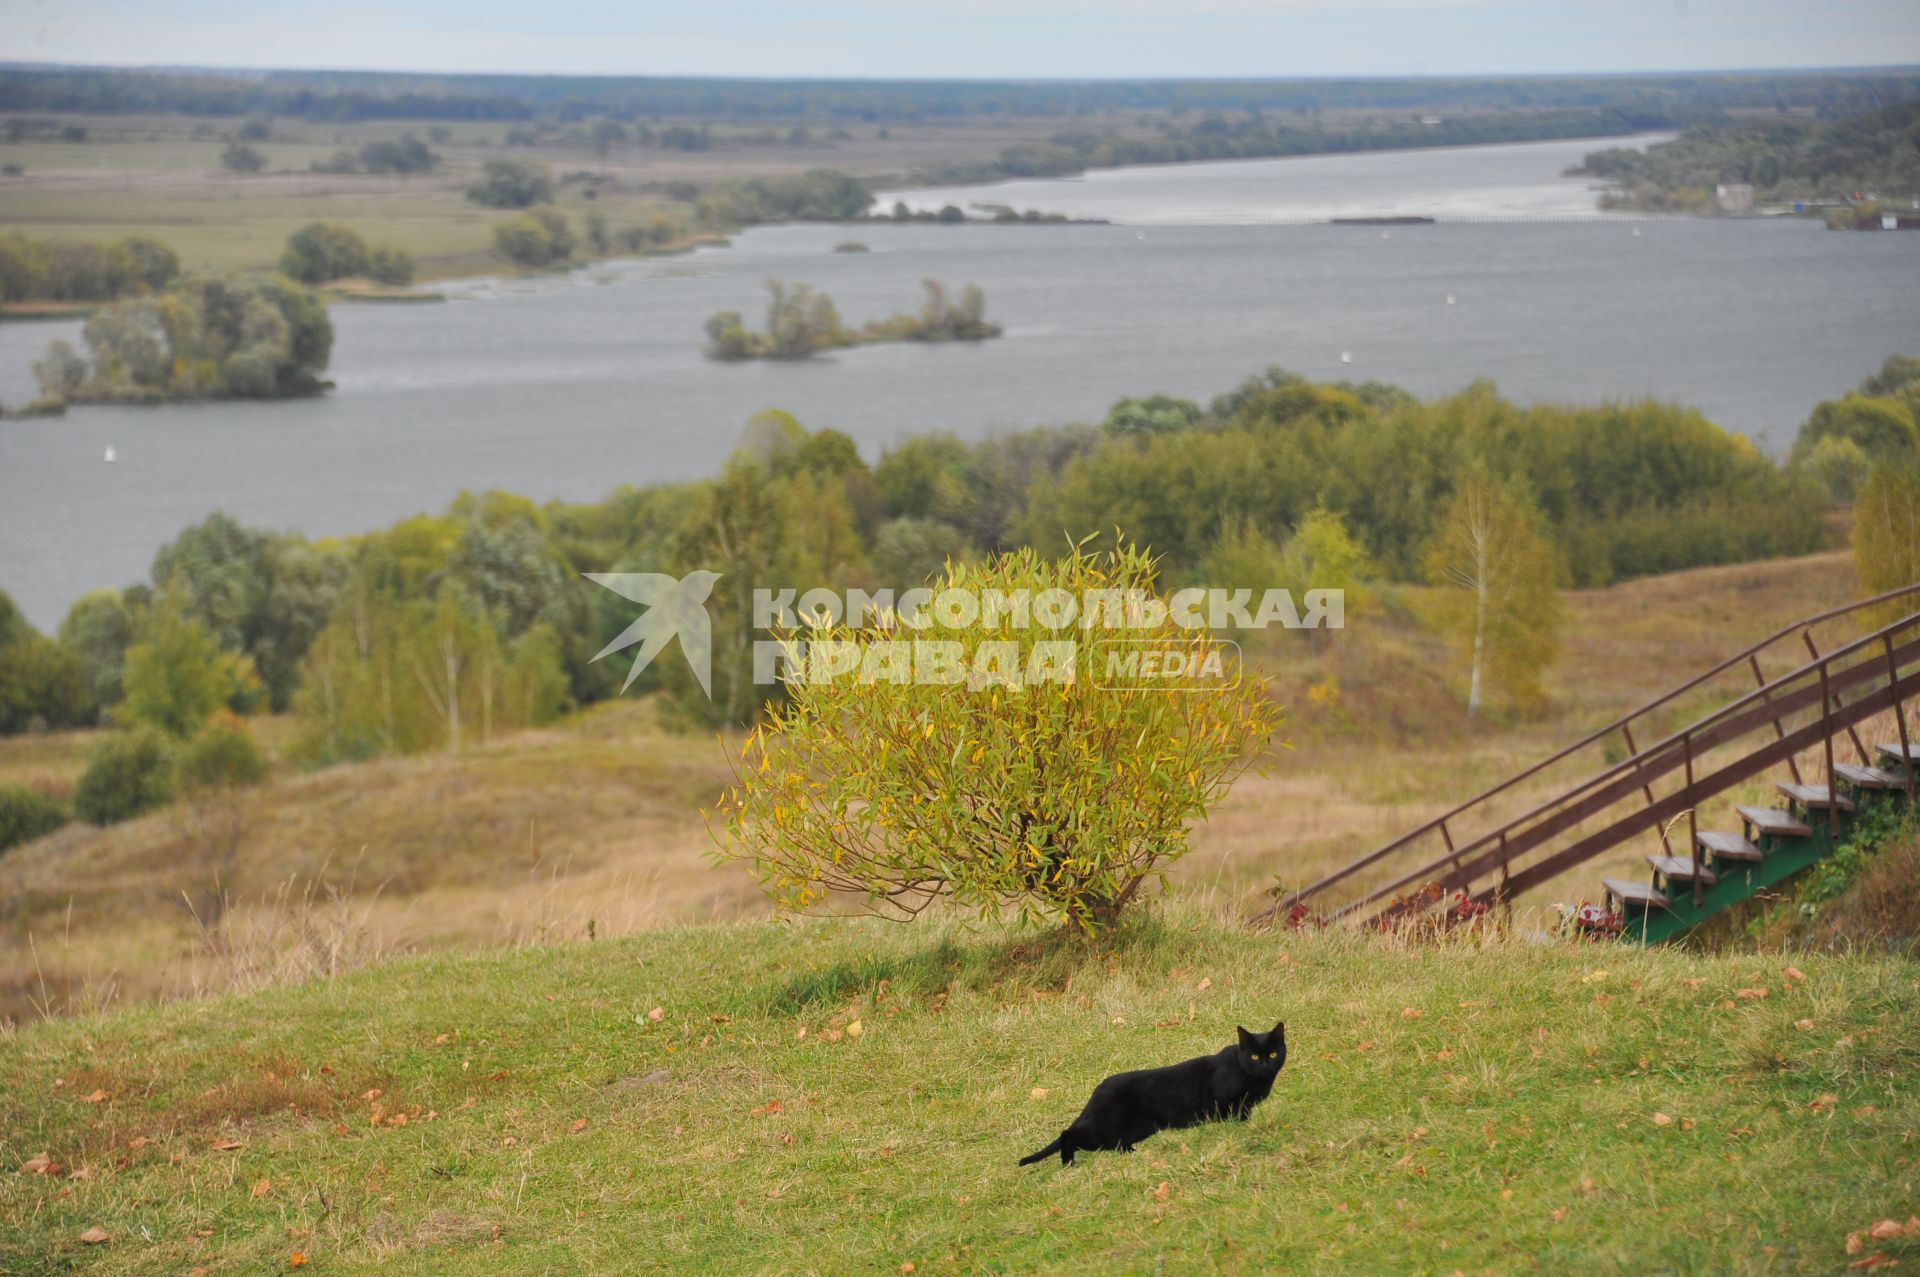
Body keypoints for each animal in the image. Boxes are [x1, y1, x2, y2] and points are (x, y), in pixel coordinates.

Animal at [1021, 1013, 1290, 1167]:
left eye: (1273, 1054)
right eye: (1254, 1056)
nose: (1265, 1065)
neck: (1253, 1078)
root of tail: (1097, 1090)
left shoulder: (1246, 1106)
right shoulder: (1227, 1105)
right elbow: (1235, 1120)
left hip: (1136, 1129)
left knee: (1116, 1144)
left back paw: (1134, 1154)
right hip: (1103, 1129)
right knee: (1068, 1134)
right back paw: (1069, 1164)